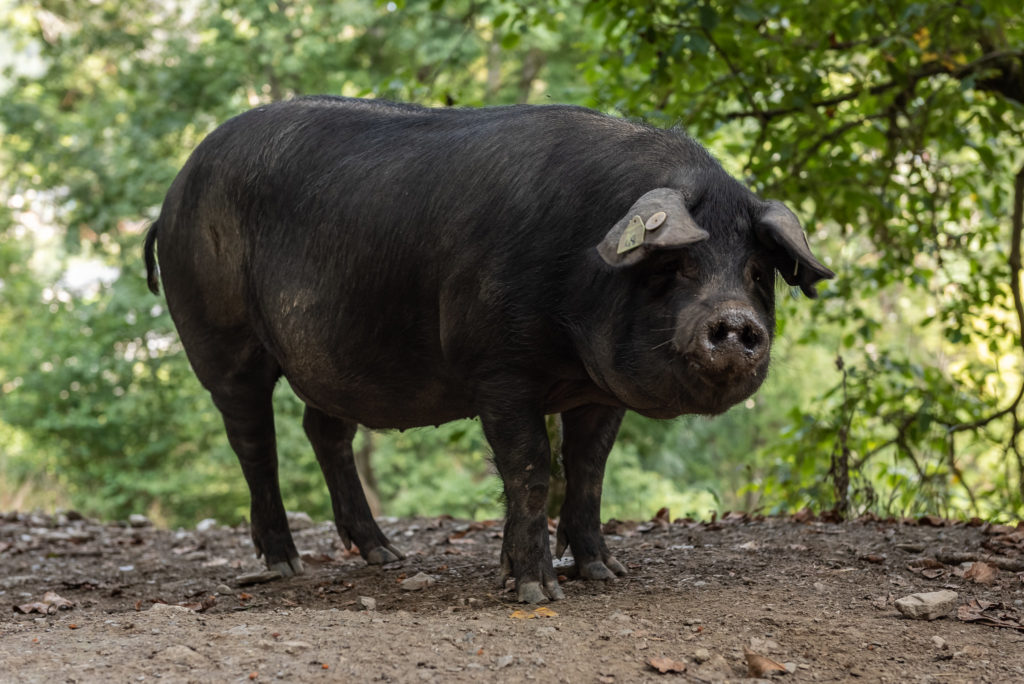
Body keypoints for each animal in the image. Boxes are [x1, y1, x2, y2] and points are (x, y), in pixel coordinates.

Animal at [146, 94, 831, 597]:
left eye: (757, 272)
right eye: (678, 265)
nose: (736, 322)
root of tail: (169, 199)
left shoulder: (598, 391)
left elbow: (589, 469)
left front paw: (605, 573)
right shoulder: (498, 368)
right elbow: (529, 467)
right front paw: (534, 591)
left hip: (331, 357)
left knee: (325, 431)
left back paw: (387, 556)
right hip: (221, 337)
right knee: (254, 442)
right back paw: (284, 565)